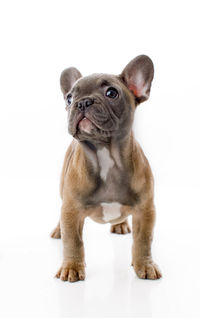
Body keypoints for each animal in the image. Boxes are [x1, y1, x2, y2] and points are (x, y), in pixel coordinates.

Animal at [50, 56, 162, 282]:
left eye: (111, 93)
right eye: (69, 98)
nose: (82, 102)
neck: (106, 155)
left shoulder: (145, 210)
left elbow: (143, 241)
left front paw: (145, 265)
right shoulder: (71, 209)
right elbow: (73, 242)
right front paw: (71, 267)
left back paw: (119, 224)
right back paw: (58, 230)